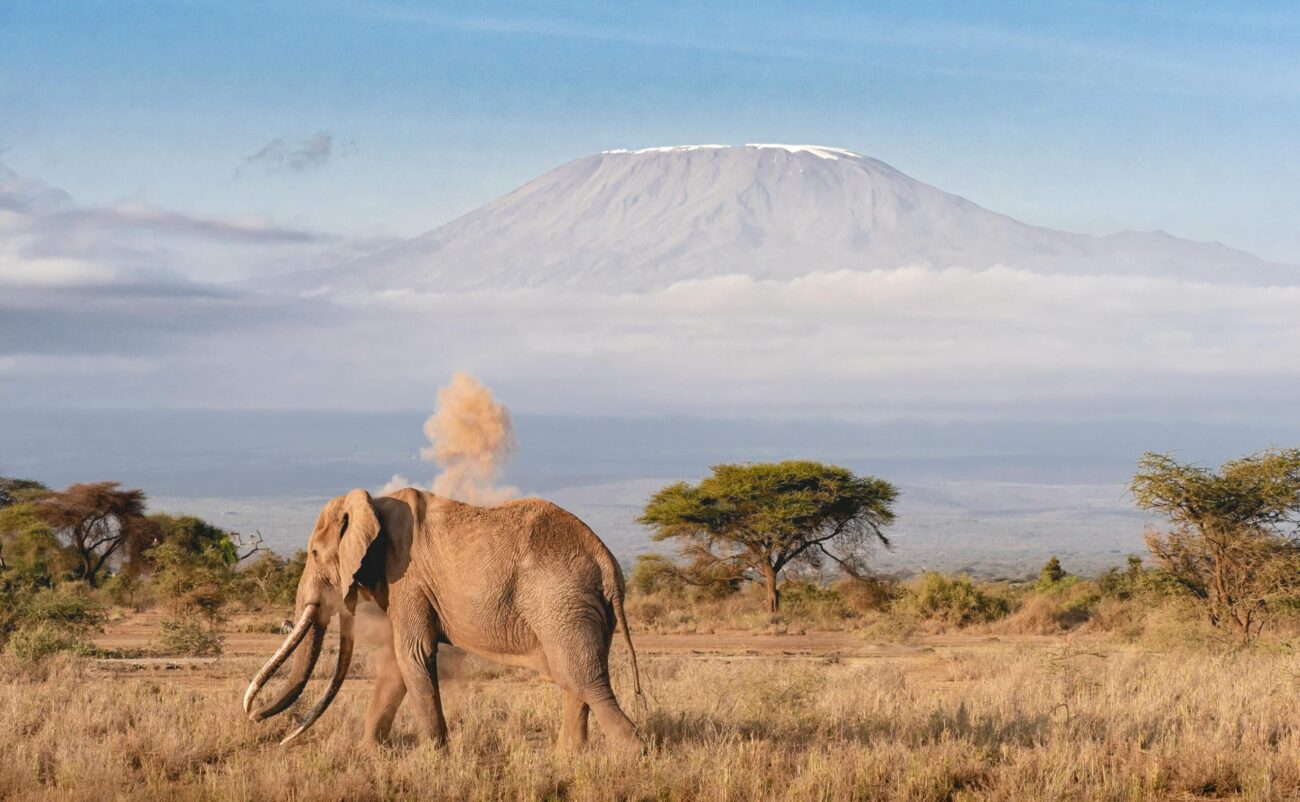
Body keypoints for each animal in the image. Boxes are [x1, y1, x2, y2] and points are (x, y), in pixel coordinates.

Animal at [241, 488, 642, 748]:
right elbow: (397, 663)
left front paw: (436, 756)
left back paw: (633, 754)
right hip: (580, 608)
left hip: (562, 602)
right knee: (574, 679)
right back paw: (568, 760)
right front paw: (369, 753)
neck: (373, 503)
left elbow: (413, 654)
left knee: (585, 680)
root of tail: (606, 560)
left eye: (313, 553)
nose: (256, 718)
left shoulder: (407, 578)